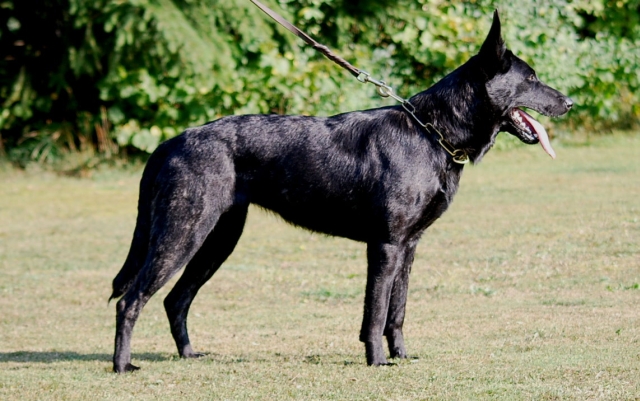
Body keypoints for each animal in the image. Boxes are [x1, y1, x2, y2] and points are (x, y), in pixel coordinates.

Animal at [109, 10, 568, 372]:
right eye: (531, 79)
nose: (569, 103)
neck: (430, 133)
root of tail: (172, 142)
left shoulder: (409, 247)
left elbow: (397, 312)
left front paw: (401, 356)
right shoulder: (384, 246)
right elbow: (375, 313)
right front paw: (377, 361)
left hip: (217, 240)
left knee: (175, 299)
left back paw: (189, 355)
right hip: (181, 234)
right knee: (130, 300)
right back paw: (123, 366)